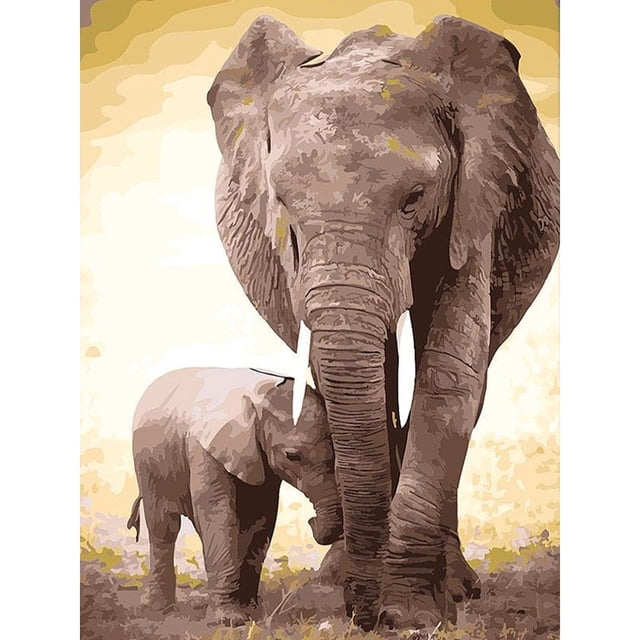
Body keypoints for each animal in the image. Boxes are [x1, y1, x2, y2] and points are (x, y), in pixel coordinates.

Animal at [127, 367, 342, 626]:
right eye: (293, 456)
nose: (312, 520)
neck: (258, 402)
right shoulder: (204, 450)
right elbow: (219, 514)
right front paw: (228, 621)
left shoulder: (261, 459)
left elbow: (261, 519)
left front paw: (250, 614)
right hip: (147, 464)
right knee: (164, 526)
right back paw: (157, 610)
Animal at [207, 14, 559, 630]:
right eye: (281, 201)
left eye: (415, 198)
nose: (362, 615)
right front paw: (359, 600)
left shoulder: (476, 199)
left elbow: (450, 373)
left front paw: (413, 614)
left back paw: (456, 587)